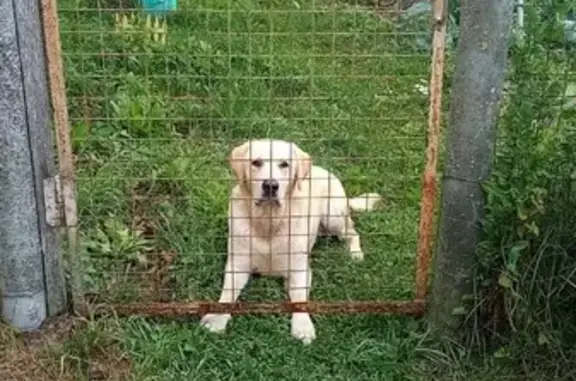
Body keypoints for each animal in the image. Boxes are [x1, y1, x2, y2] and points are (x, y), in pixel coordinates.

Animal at [200, 138, 380, 342]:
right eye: (256, 163)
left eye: (284, 164)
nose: (270, 185)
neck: (268, 221)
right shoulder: (237, 265)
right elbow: (228, 292)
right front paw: (217, 319)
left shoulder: (300, 268)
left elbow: (300, 298)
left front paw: (303, 326)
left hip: (333, 215)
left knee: (352, 231)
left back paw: (355, 253)